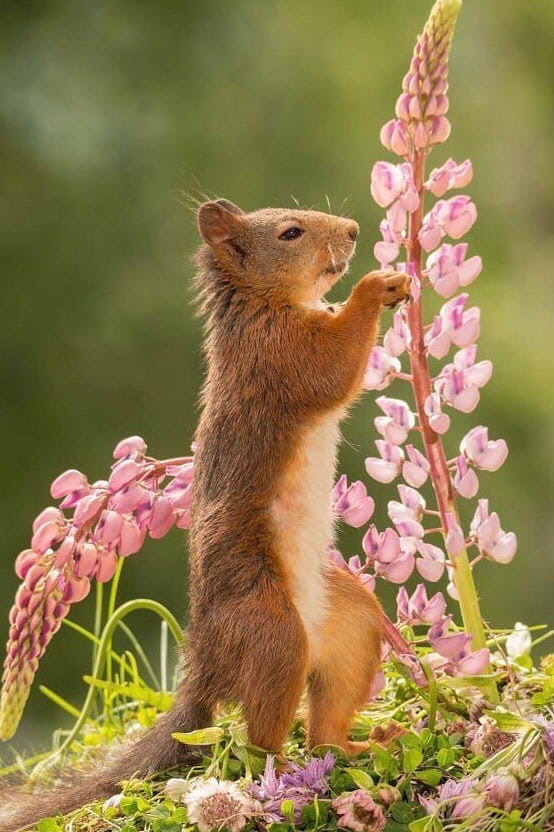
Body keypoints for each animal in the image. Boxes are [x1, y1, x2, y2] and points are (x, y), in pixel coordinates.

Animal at [0, 200, 409, 832]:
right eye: (290, 232)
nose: (354, 232)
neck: (263, 305)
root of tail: (209, 664)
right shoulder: (278, 356)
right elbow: (333, 370)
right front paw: (374, 288)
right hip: (271, 630)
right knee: (261, 740)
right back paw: (286, 775)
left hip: (352, 625)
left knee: (326, 728)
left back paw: (360, 744)